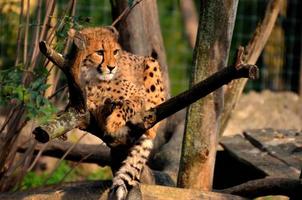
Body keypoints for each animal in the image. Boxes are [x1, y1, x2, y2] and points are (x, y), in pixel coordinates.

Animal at [69, 27, 165, 200]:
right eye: (99, 52)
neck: (92, 77)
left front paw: (114, 122)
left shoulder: (139, 95)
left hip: (151, 63)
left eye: (115, 52)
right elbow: (95, 108)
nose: (112, 67)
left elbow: (128, 105)